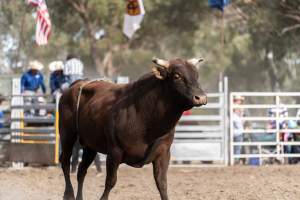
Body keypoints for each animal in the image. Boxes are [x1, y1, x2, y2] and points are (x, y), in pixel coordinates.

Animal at [59, 57, 207, 199]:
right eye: (177, 76)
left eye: (196, 75)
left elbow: (162, 184)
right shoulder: (114, 152)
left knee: (81, 171)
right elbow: (110, 182)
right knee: (65, 162)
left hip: (90, 145)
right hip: (67, 135)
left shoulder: (163, 154)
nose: (201, 98)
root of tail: (76, 85)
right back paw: (68, 193)